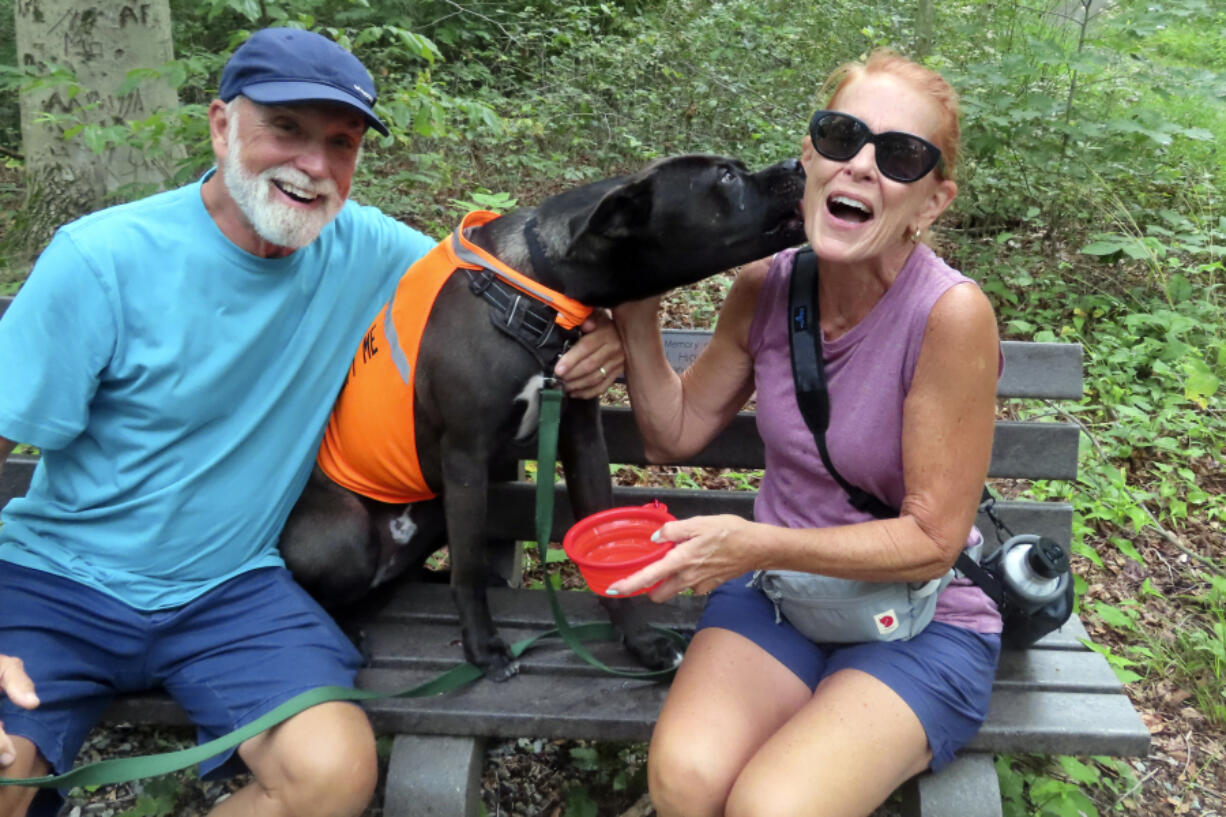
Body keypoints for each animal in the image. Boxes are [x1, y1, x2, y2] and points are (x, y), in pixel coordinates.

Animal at [281, 152, 809, 672]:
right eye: (726, 176)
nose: (796, 164)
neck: (538, 290)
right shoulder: (465, 454)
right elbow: (469, 566)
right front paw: (483, 646)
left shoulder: (582, 437)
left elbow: (602, 541)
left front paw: (639, 640)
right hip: (353, 534)